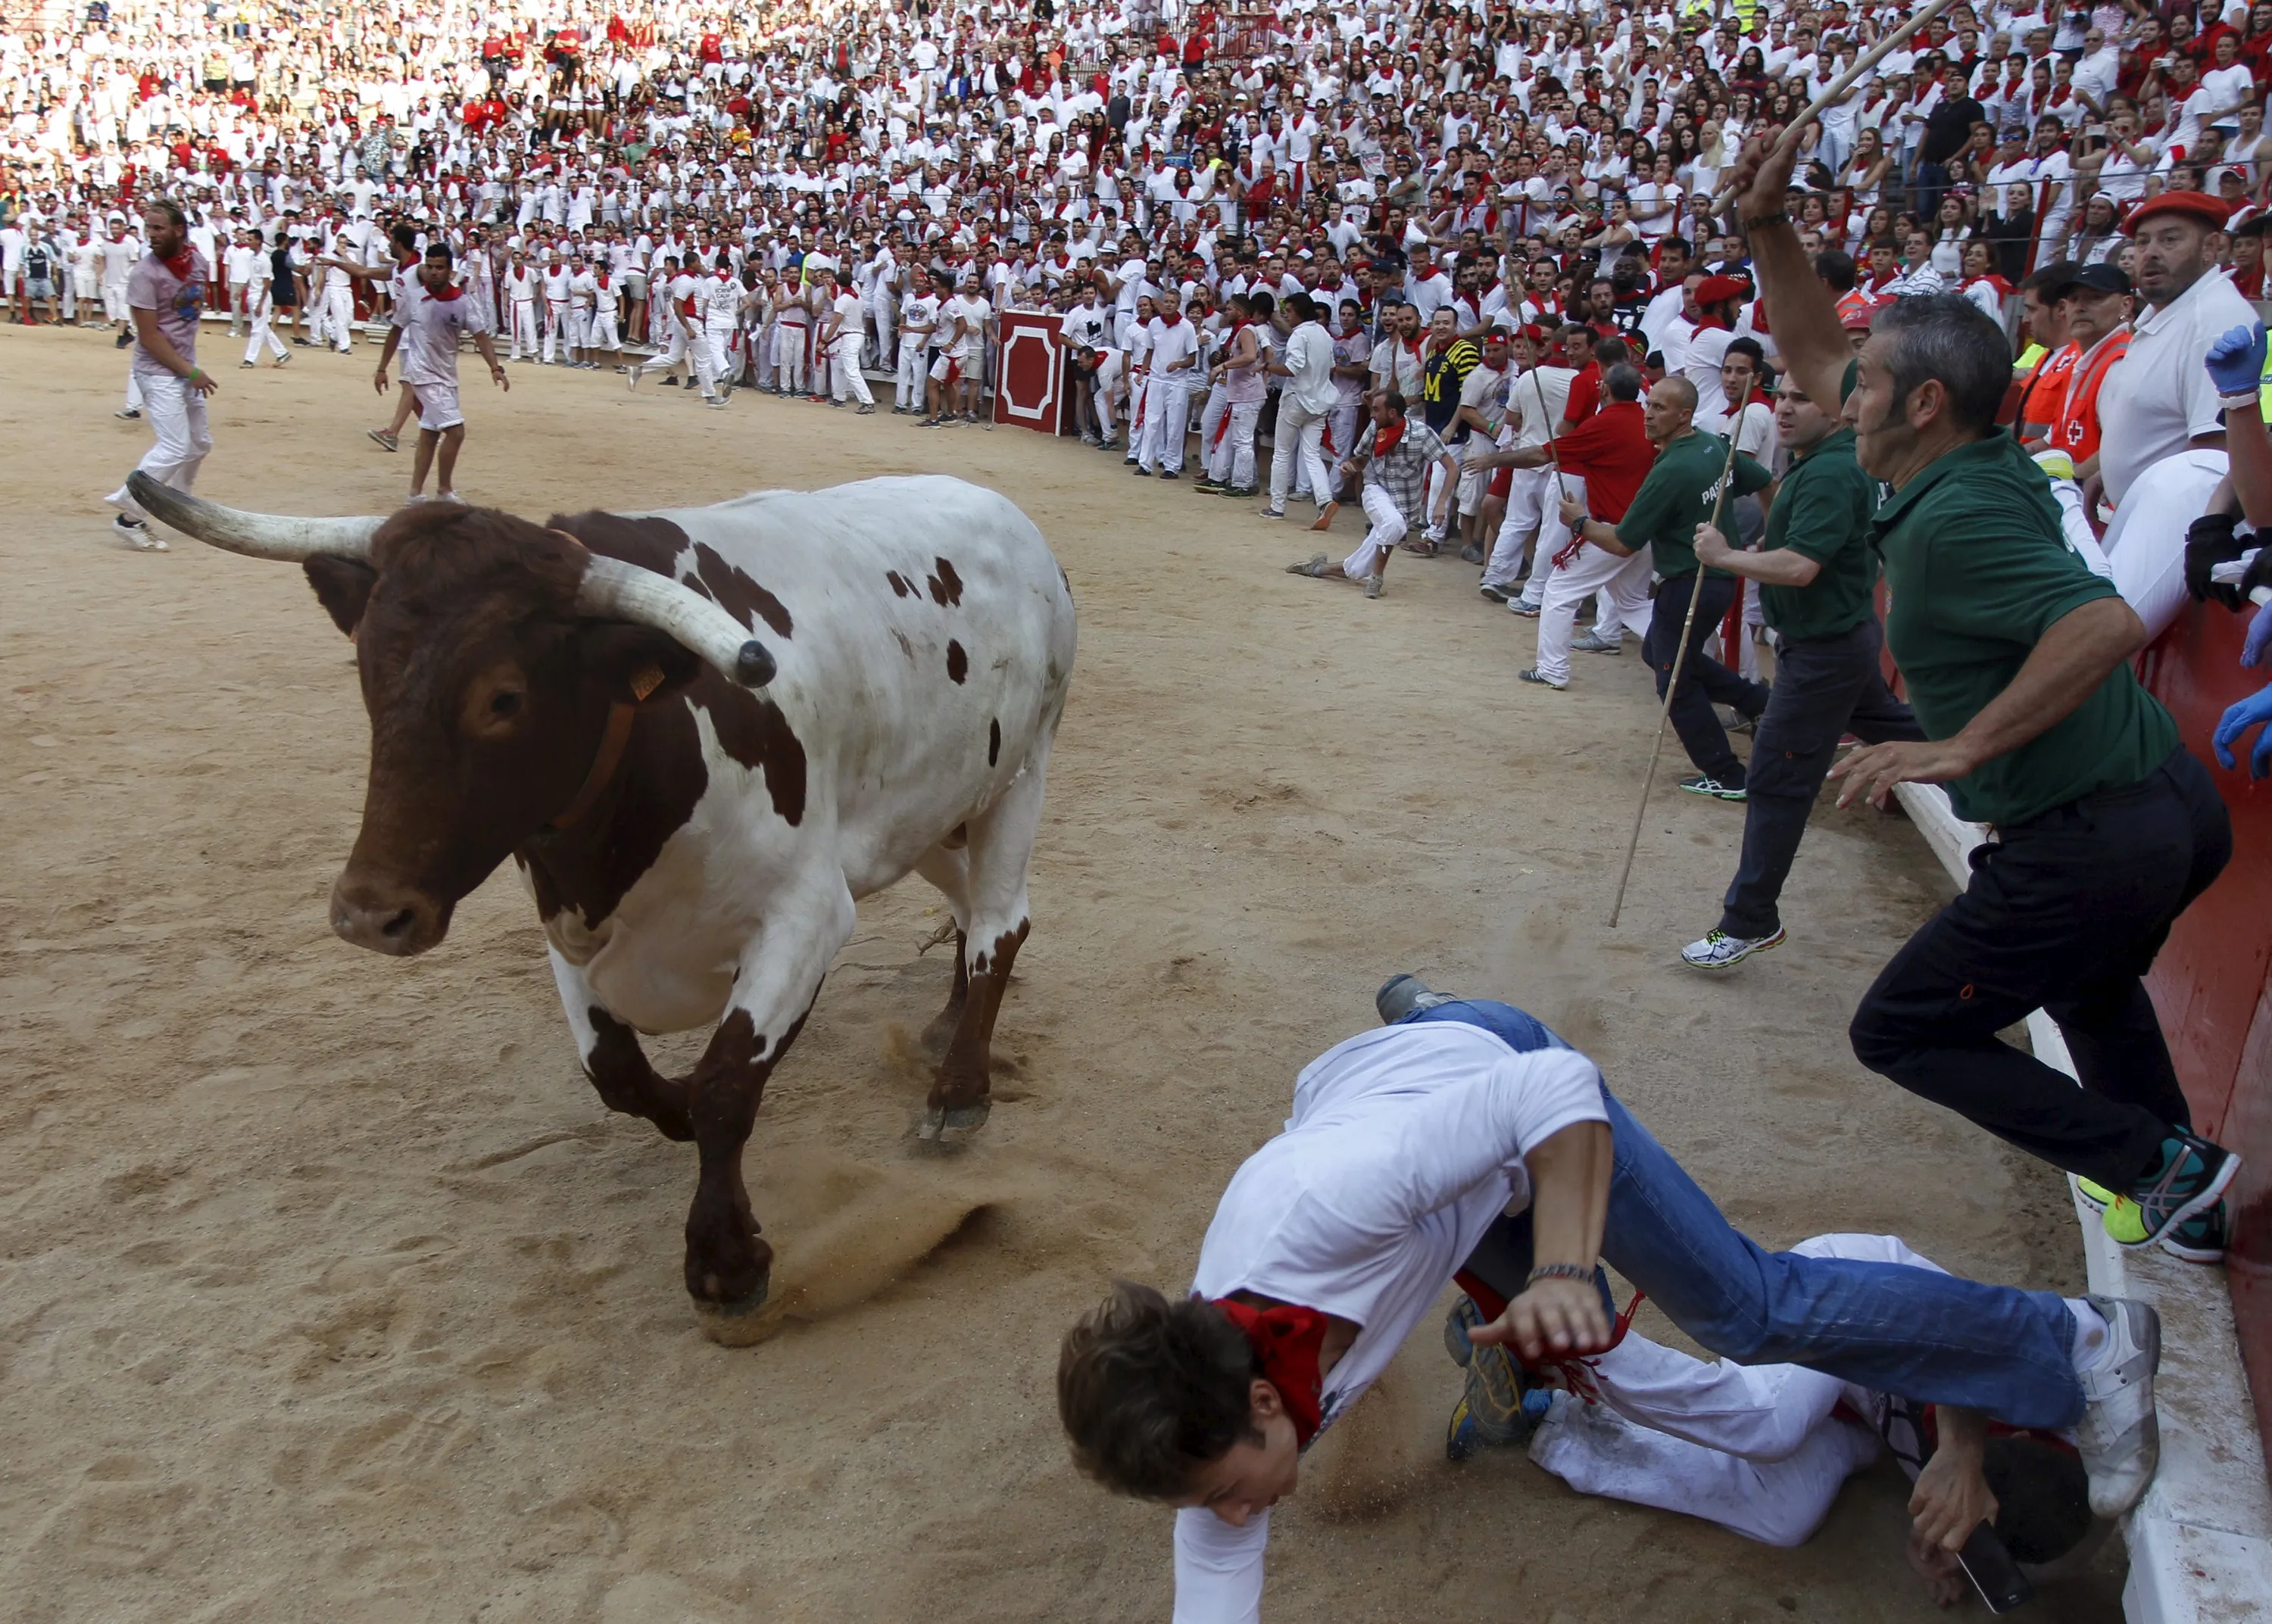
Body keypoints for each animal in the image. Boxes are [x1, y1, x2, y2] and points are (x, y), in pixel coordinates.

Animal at [133, 470, 1072, 1336]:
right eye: (368, 670)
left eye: (504, 697)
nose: (369, 912)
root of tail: (1006, 514)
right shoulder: (569, 926)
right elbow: (618, 1074)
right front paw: (678, 1114)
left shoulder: (805, 917)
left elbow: (728, 1086)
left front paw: (726, 1263)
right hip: (935, 811)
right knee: (966, 909)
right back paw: (946, 1025)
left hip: (1019, 778)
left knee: (1000, 926)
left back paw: (958, 1088)